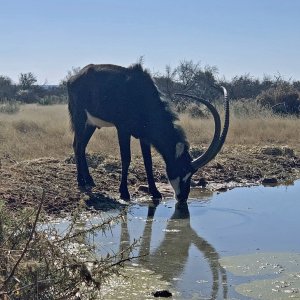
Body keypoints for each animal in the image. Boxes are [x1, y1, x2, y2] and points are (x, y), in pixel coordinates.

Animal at [67, 63, 229, 202]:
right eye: (183, 169)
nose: (183, 197)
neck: (144, 98)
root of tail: (73, 78)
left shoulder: (144, 137)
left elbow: (148, 162)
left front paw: (155, 192)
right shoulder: (123, 129)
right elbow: (126, 158)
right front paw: (124, 193)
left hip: (91, 124)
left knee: (81, 146)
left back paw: (89, 180)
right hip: (80, 118)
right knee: (77, 145)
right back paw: (81, 181)